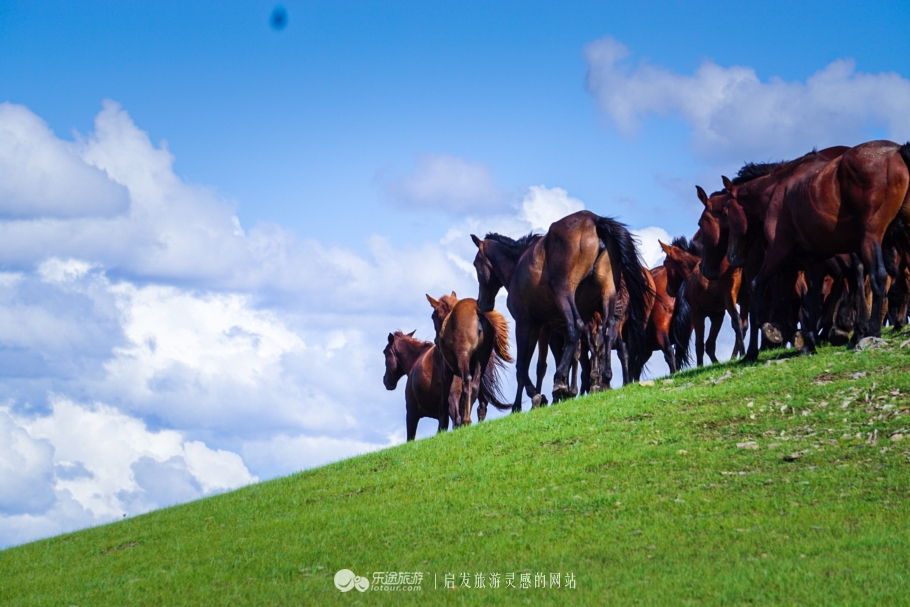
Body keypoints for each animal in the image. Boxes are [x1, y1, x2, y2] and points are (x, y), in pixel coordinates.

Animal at [428, 294, 512, 428]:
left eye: (433, 316)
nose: (436, 341)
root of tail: (476, 309)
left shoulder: (446, 369)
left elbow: (444, 399)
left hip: (463, 356)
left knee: (467, 382)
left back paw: (466, 420)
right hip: (482, 358)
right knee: (475, 386)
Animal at [471, 211, 651, 408]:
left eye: (475, 263)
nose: (483, 303)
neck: (517, 264)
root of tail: (594, 220)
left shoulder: (527, 323)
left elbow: (522, 366)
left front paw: (530, 398)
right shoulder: (545, 326)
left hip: (563, 292)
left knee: (576, 327)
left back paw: (560, 381)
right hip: (607, 294)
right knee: (608, 332)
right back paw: (604, 380)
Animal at [660, 237, 746, 366]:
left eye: (665, 262)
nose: (669, 290)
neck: (692, 271)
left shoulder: (697, 314)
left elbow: (699, 344)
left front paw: (700, 366)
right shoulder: (717, 315)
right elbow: (709, 344)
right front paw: (715, 363)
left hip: (730, 298)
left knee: (738, 323)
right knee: (741, 324)